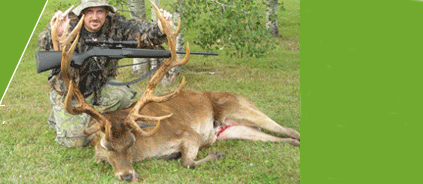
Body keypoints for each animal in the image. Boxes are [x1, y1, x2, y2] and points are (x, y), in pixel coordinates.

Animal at [53, 1, 302, 183]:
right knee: (282, 137)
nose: (127, 175)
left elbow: (187, 162)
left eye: (131, 143)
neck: (146, 149)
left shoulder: (190, 134)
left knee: (289, 129)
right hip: (234, 129)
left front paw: (214, 155)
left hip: (242, 109)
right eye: (106, 146)